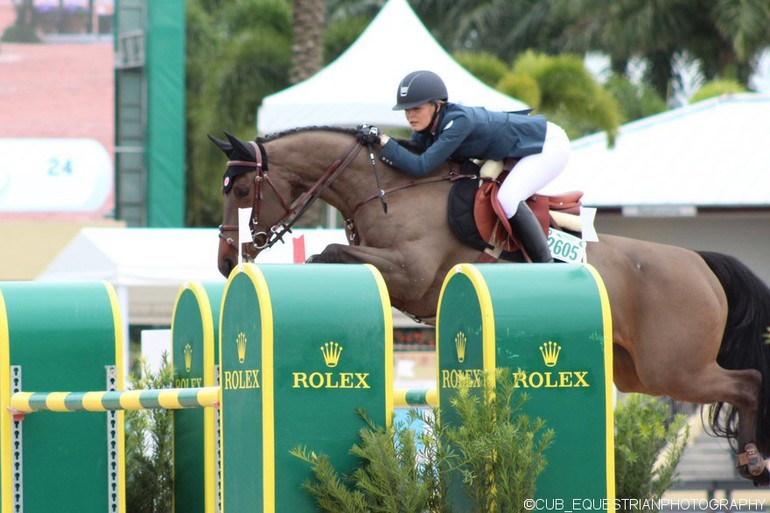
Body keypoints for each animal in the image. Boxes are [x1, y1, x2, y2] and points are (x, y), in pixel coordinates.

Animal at [212, 126, 770, 482]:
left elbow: (331, 252)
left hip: (673, 369)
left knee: (748, 382)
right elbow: (335, 255)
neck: (388, 191)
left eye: (239, 189)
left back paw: (752, 460)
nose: (225, 261)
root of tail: (699, 262)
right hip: (639, 373)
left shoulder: (409, 274)